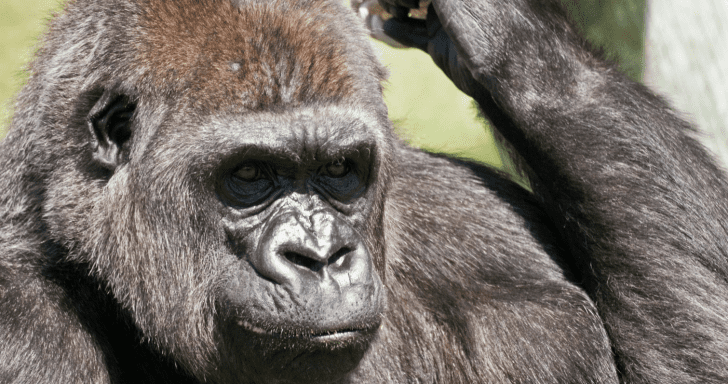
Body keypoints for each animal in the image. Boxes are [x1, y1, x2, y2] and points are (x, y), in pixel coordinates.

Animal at [1, 0, 728, 382]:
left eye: (340, 169)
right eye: (249, 177)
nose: (322, 259)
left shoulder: (481, 221)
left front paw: (506, 40)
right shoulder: (20, 320)